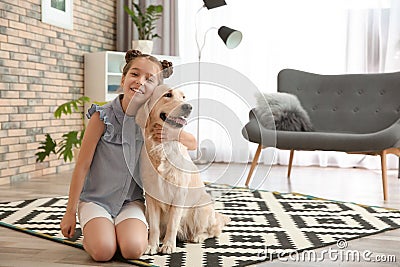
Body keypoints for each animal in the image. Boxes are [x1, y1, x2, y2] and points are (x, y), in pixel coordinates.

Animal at [136, 85, 230, 255]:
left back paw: (198, 236)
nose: (189, 107)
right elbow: (154, 226)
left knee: (214, 229)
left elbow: (173, 223)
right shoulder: (151, 196)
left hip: (202, 208)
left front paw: (168, 245)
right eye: (168, 95)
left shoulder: (179, 193)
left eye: (183, 97)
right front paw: (151, 245)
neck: (162, 146)